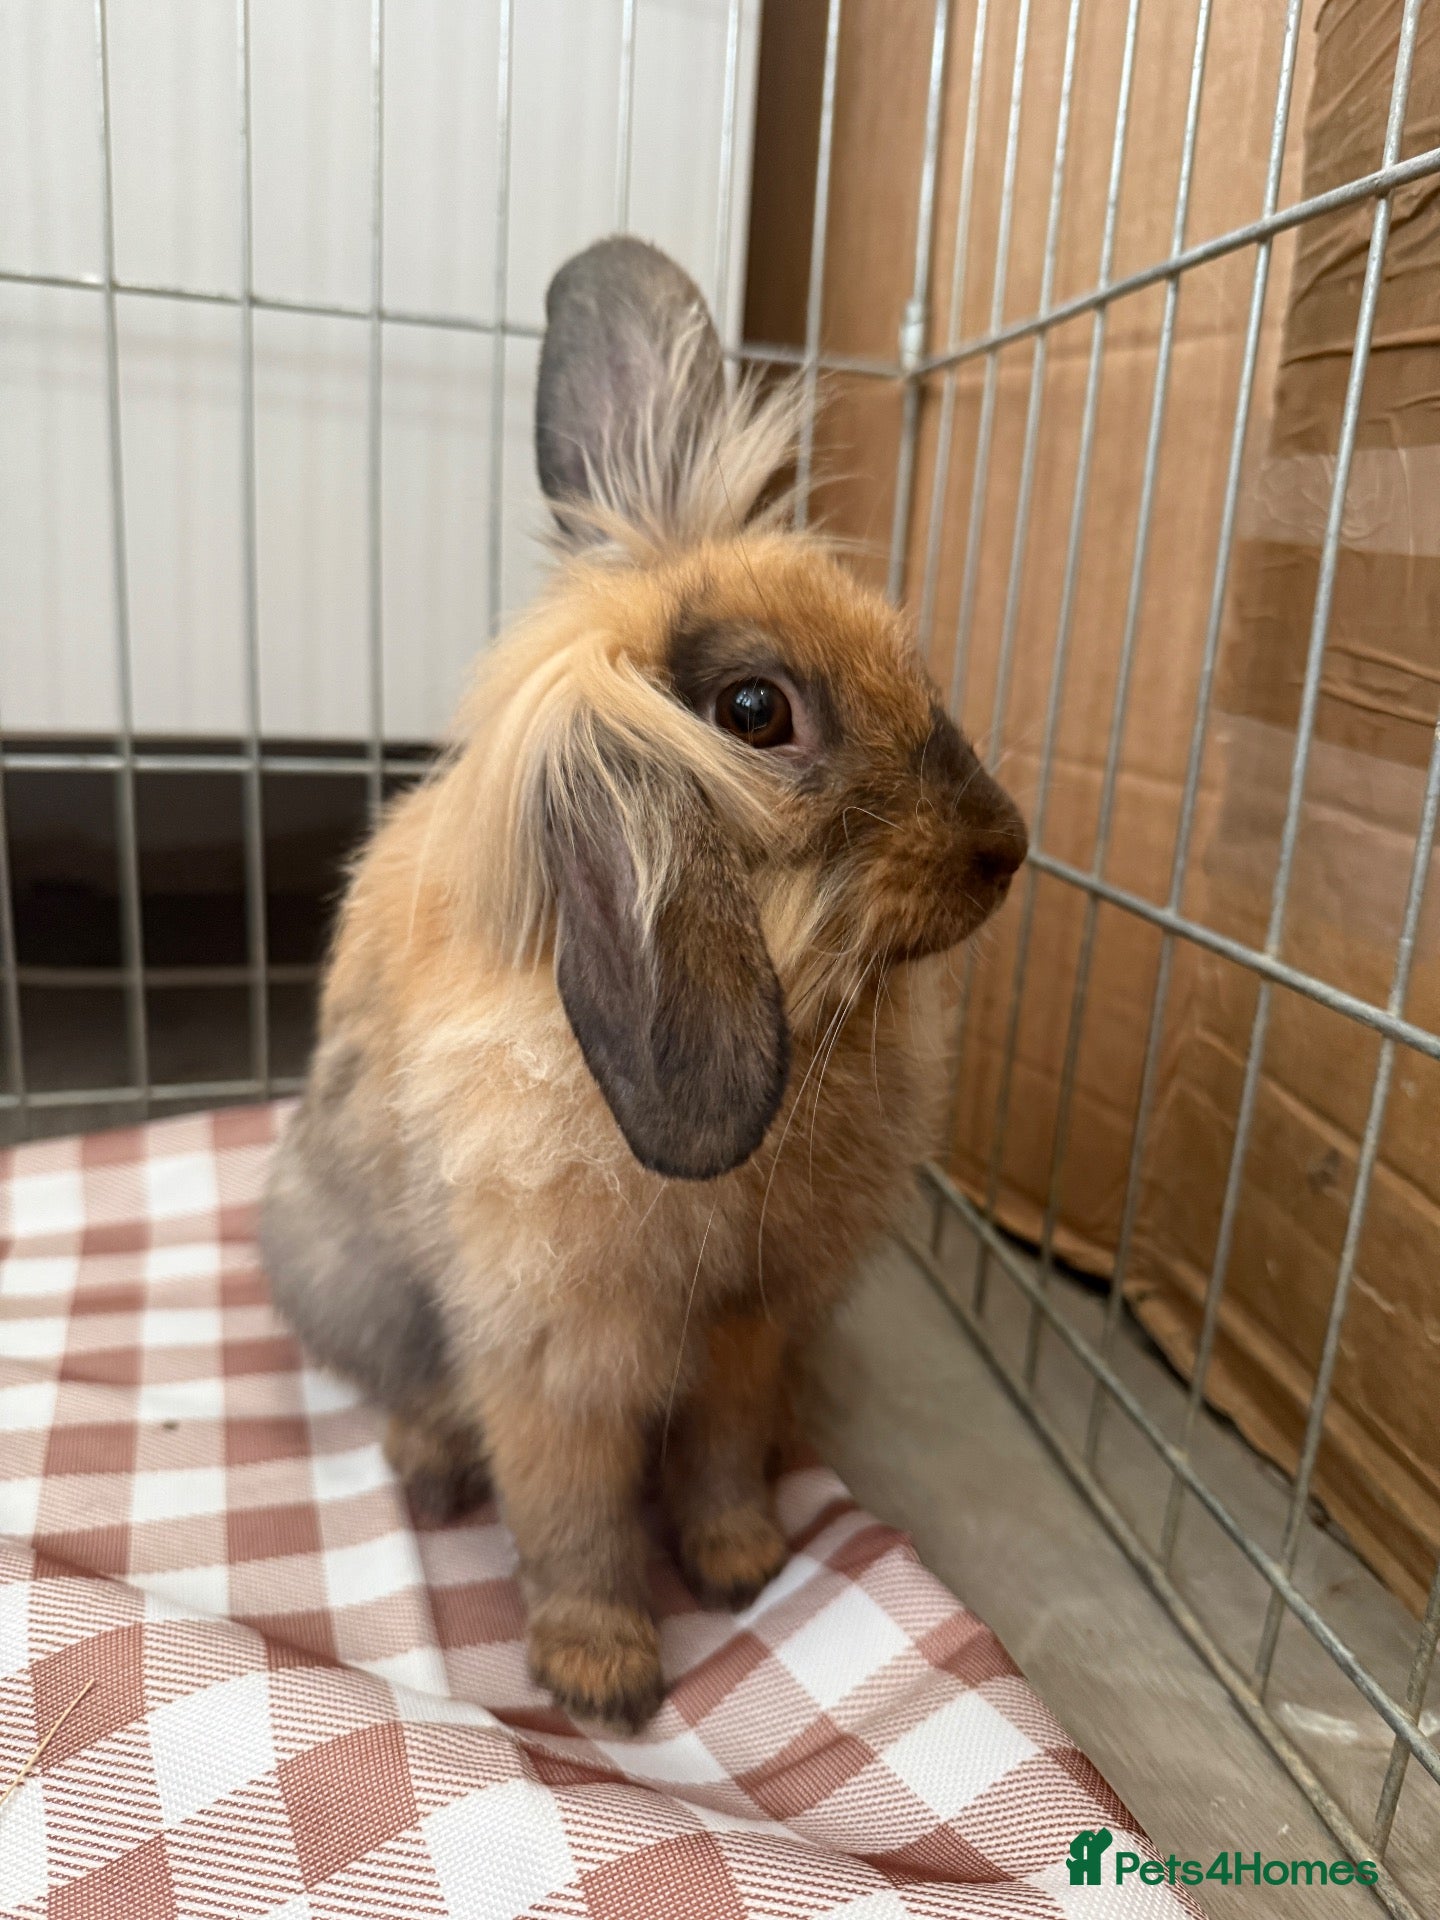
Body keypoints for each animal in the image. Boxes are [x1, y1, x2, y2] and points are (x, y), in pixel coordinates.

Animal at [261, 235, 1027, 1732]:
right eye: (754, 712)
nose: (1006, 847)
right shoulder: (555, 1354)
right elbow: (572, 1515)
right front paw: (603, 1674)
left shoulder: (749, 1324)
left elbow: (722, 1450)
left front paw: (741, 1564)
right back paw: (429, 1465)